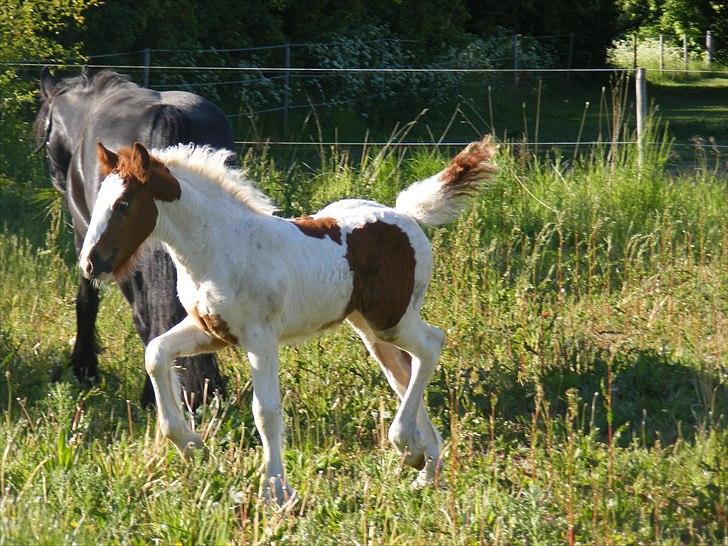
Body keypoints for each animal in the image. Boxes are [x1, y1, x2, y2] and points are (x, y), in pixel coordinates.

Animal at [34, 68, 230, 406]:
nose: (57, 179)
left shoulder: (87, 238)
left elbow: (87, 299)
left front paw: (84, 366)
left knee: (144, 318)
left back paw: (152, 395)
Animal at [81, 137, 500, 502]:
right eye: (99, 200)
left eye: (123, 204)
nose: (90, 263)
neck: (219, 247)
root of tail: (405, 215)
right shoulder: (211, 330)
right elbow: (155, 353)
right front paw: (192, 445)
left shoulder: (260, 338)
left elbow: (265, 410)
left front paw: (275, 491)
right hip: (370, 328)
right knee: (404, 372)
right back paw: (425, 464)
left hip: (392, 320)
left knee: (431, 345)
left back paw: (409, 448)